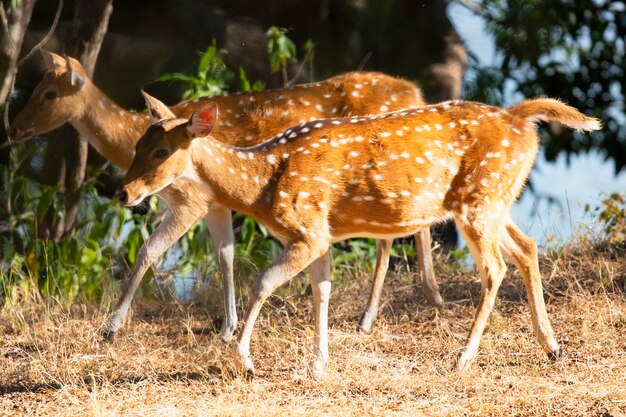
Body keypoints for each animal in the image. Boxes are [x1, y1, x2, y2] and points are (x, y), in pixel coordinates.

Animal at [11, 48, 438, 342]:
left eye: (50, 94)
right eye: (34, 88)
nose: (14, 128)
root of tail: (416, 92)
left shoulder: (190, 200)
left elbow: (149, 251)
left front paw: (111, 327)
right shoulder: (214, 204)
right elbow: (226, 257)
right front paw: (227, 328)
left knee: (397, 234)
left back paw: (394, 309)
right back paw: (411, 302)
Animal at [118, 97, 600, 374]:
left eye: (161, 151)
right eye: (137, 145)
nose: (123, 192)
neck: (263, 185)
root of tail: (521, 119)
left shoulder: (308, 230)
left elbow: (264, 283)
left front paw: (244, 360)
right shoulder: (323, 235)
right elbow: (323, 291)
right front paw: (319, 364)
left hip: (480, 201)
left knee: (495, 268)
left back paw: (463, 357)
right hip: (495, 200)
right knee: (528, 248)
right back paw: (552, 347)